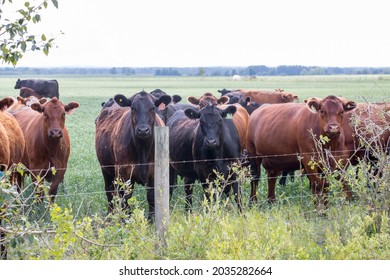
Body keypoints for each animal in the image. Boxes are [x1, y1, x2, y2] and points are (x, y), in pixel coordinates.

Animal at [94, 90, 171, 219]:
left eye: (152, 108)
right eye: (133, 108)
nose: (143, 130)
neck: (142, 150)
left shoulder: (154, 173)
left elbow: (151, 197)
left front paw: (151, 219)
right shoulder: (124, 173)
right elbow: (126, 198)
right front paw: (127, 219)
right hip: (106, 169)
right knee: (110, 192)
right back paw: (110, 215)